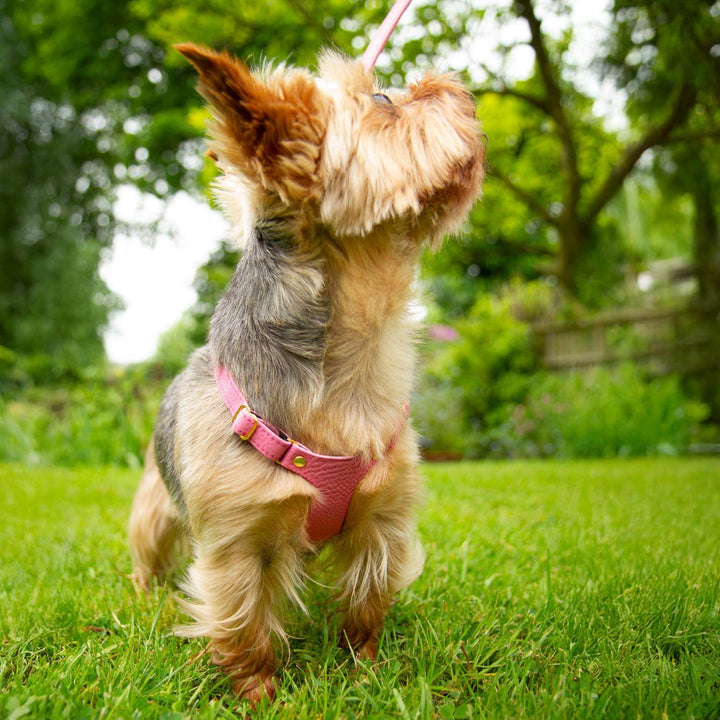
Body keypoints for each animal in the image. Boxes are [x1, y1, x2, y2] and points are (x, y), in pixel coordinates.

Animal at [129, 43, 484, 704]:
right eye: (383, 101)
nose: (451, 83)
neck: (353, 360)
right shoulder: (239, 543)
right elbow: (244, 622)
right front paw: (258, 694)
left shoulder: (382, 520)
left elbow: (367, 602)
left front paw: (365, 670)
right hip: (156, 501)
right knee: (148, 541)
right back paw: (142, 590)